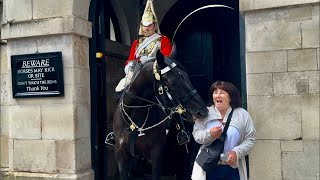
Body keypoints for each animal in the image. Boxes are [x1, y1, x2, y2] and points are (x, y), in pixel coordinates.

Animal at [112, 49, 208, 180]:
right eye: (172, 83)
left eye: (187, 77)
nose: (203, 111)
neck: (135, 119)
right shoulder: (121, 154)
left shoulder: (156, 154)